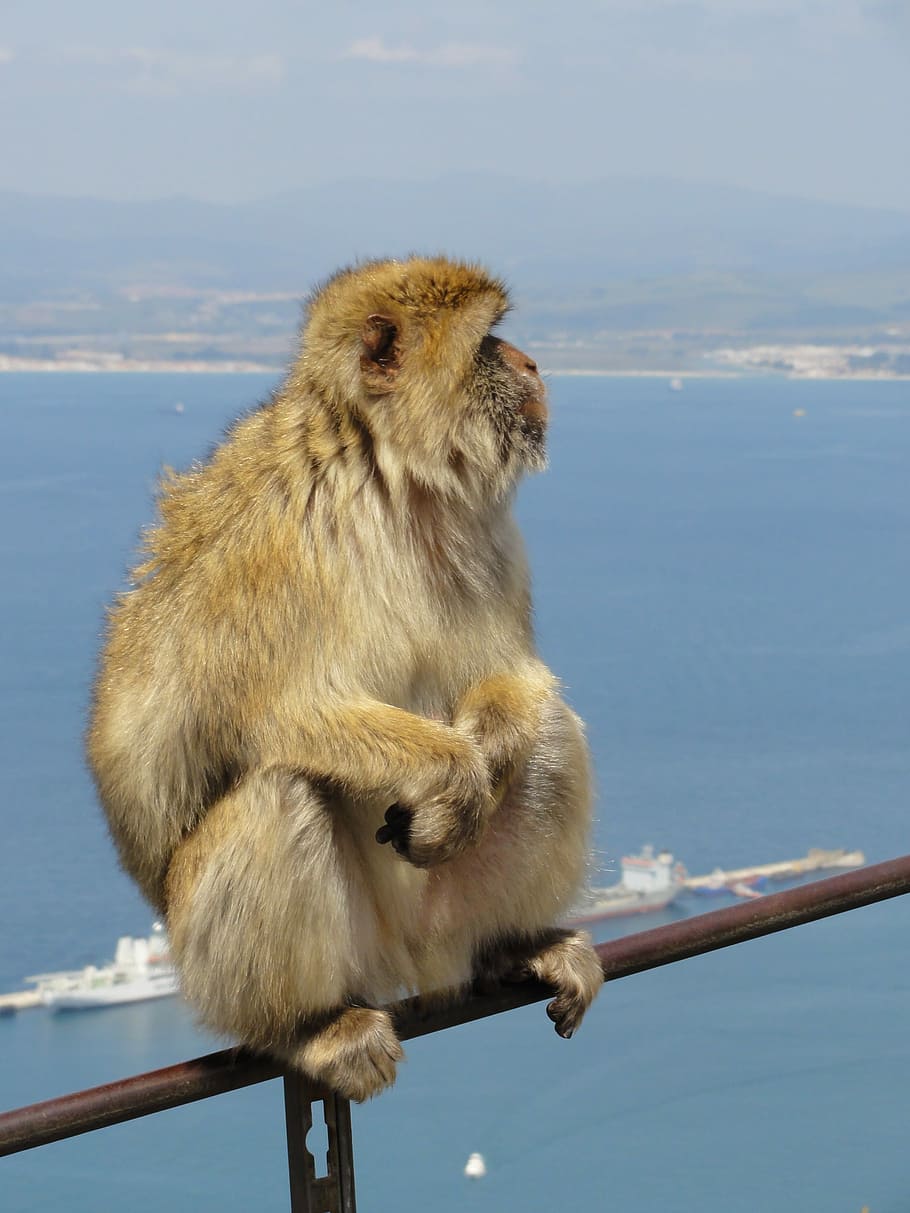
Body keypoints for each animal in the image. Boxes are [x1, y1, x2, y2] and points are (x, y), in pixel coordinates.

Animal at [88, 256, 603, 1101]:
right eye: (488, 342)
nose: (531, 364)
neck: (389, 479)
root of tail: (413, 965)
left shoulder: (483, 528)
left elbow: (511, 675)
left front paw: (486, 757)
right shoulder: (274, 544)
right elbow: (271, 716)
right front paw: (458, 773)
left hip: (447, 911)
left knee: (551, 733)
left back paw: (515, 942)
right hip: (245, 960)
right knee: (278, 790)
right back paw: (308, 1026)